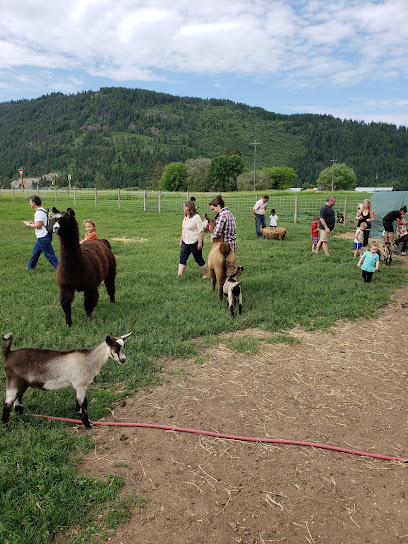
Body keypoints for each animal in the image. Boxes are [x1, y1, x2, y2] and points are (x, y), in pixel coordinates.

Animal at [1, 332, 131, 430]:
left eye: (124, 346)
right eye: (115, 347)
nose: (123, 359)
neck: (89, 360)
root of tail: (8, 354)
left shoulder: (78, 386)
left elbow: (79, 403)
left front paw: (79, 415)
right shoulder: (80, 385)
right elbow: (83, 404)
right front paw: (87, 424)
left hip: (22, 383)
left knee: (17, 400)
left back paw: (21, 416)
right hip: (13, 380)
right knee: (7, 402)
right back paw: (6, 425)